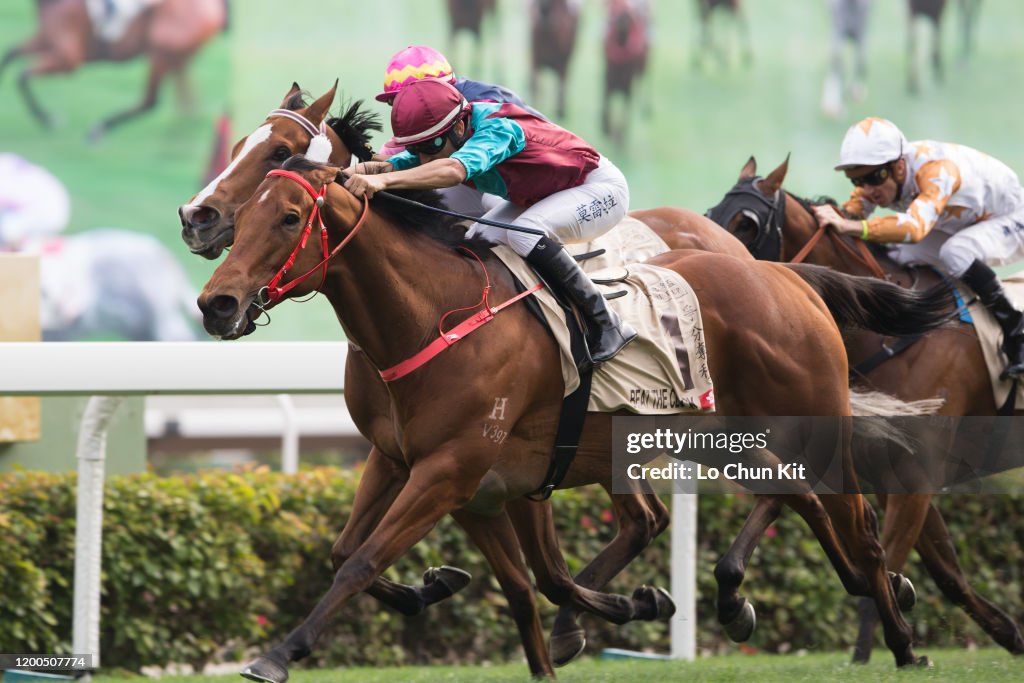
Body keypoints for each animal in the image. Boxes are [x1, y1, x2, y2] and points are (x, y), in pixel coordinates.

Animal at [0, 0, 226, 140]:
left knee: (150, 102)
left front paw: (48, 119)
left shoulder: (68, 58)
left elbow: (22, 77)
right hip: (176, 58)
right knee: (187, 101)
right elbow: (10, 54)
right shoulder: (45, 39)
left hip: (160, 54)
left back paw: (98, 130)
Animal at [602, 0, 651, 145]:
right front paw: (609, 130)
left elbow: (625, 113)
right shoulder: (607, 80)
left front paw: (619, 136)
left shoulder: (628, 86)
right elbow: (605, 110)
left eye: (629, 16)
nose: (622, 19)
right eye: (612, 11)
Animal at [708, 154, 1024, 663]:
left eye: (747, 222)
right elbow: (946, 574)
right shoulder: (891, 475)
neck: (891, 334)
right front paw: (1008, 632)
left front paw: (889, 648)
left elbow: (882, 555)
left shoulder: (915, 477)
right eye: (713, 212)